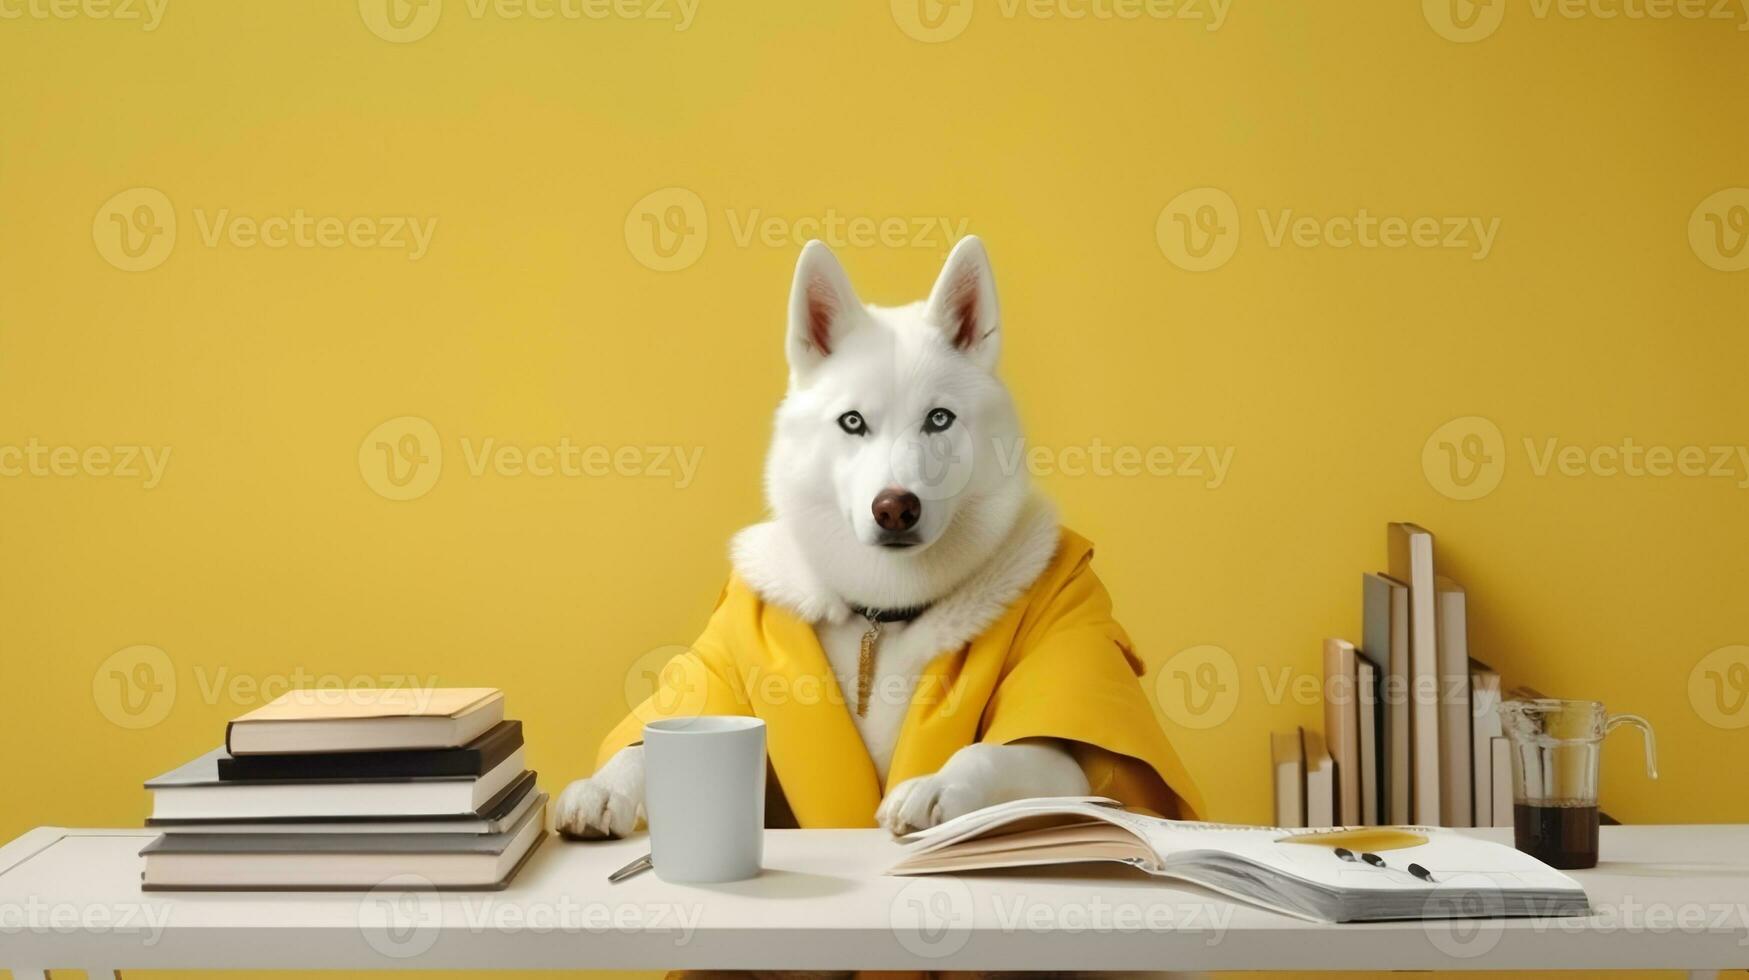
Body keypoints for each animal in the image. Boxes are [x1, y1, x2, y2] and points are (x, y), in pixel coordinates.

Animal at [552, 236, 1084, 833]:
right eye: (852, 422)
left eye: (939, 419)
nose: (895, 508)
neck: (882, 612)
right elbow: (649, 742)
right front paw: (603, 788)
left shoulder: (1067, 768)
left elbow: (989, 751)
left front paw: (936, 786)